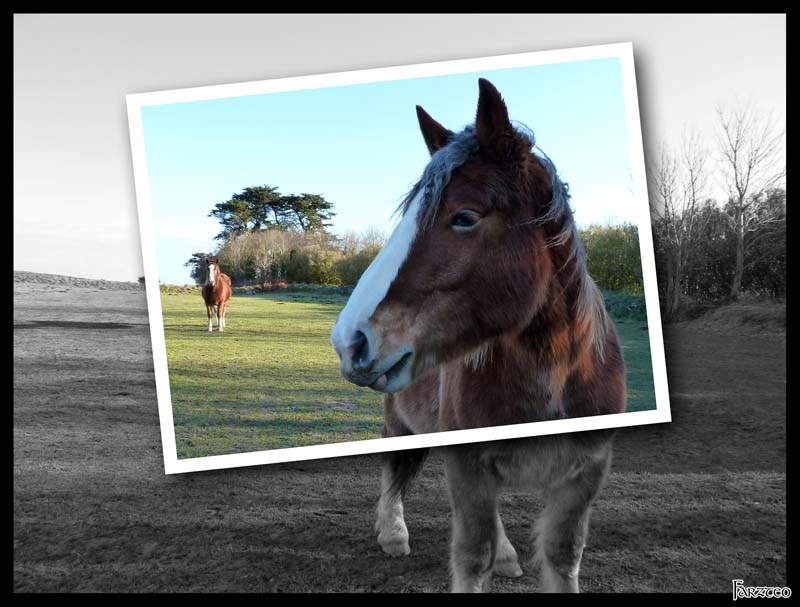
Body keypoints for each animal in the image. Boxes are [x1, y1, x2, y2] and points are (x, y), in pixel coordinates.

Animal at [330, 77, 624, 592]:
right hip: (399, 422)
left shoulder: (586, 473)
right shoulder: (467, 465)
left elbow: (563, 555)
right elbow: (472, 556)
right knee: (392, 469)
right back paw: (392, 532)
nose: (350, 340)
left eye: (464, 216)